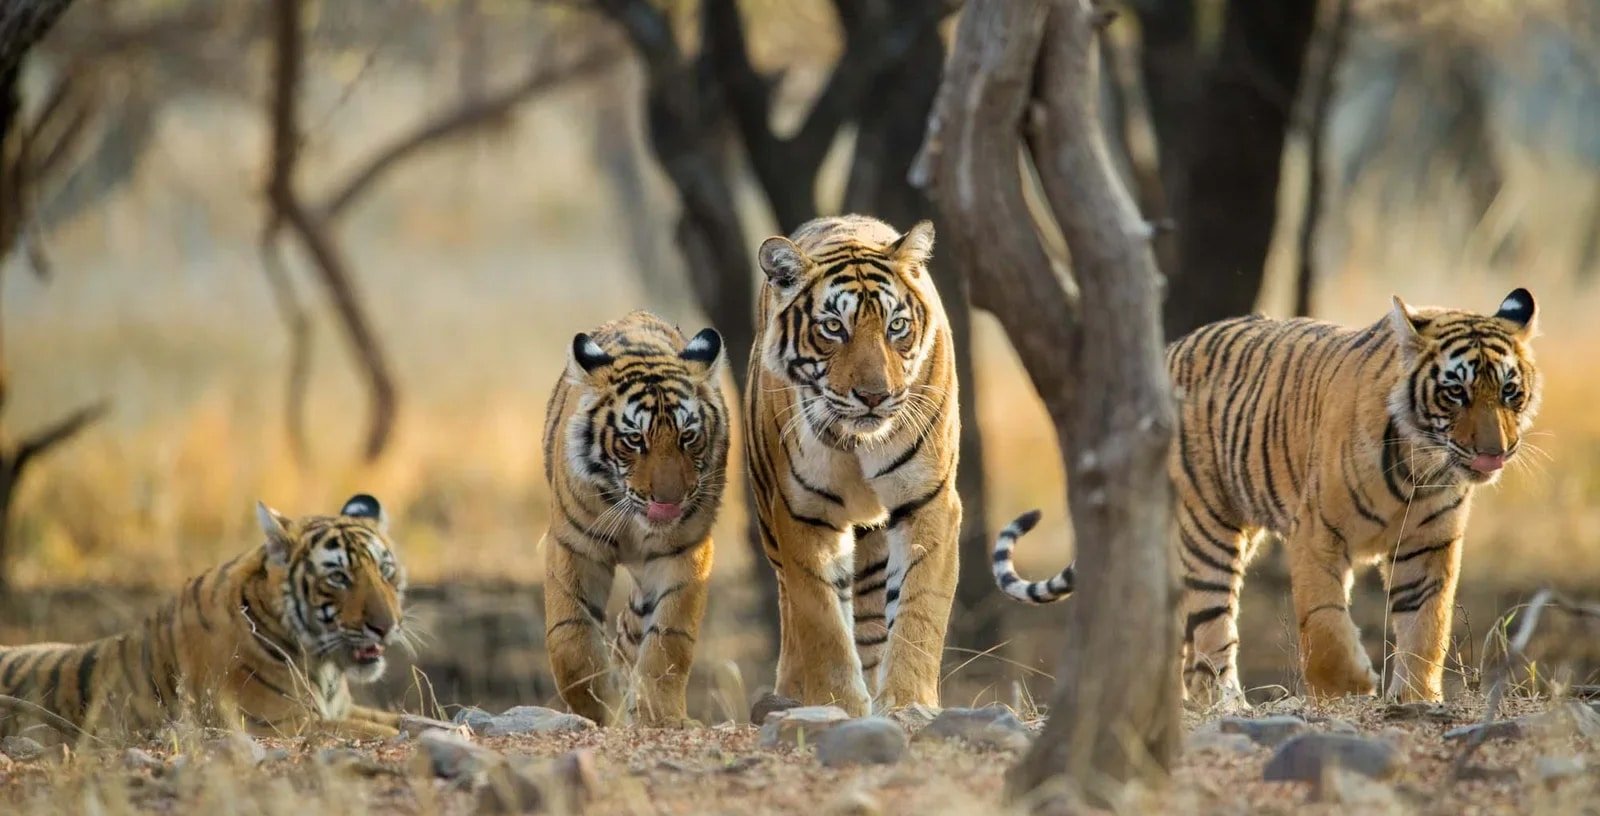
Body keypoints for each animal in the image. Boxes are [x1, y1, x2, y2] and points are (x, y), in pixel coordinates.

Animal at [0, 494, 408, 739]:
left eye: (385, 571)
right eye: (338, 577)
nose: (386, 627)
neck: (324, 668)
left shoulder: (343, 708)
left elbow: (406, 719)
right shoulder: (278, 724)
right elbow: (383, 732)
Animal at [541, 310, 728, 728]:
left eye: (687, 436)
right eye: (634, 440)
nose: (669, 502)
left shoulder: (685, 551)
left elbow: (668, 640)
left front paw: (659, 716)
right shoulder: (574, 547)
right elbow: (571, 640)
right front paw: (597, 710)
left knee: (633, 630)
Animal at [746, 214, 962, 716]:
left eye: (896, 326)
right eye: (833, 327)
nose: (874, 396)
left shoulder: (928, 500)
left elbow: (919, 609)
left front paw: (907, 702)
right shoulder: (804, 513)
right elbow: (821, 620)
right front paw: (837, 704)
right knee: (792, 609)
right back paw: (788, 693)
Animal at [991, 289, 1541, 706]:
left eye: (1509, 392)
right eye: (1456, 393)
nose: (1494, 452)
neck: (1420, 467)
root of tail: (1168, 351)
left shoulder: (1429, 546)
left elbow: (1428, 624)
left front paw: (1417, 698)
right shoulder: (1317, 533)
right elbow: (1323, 621)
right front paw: (1349, 687)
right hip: (1207, 528)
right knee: (1211, 627)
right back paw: (1225, 703)